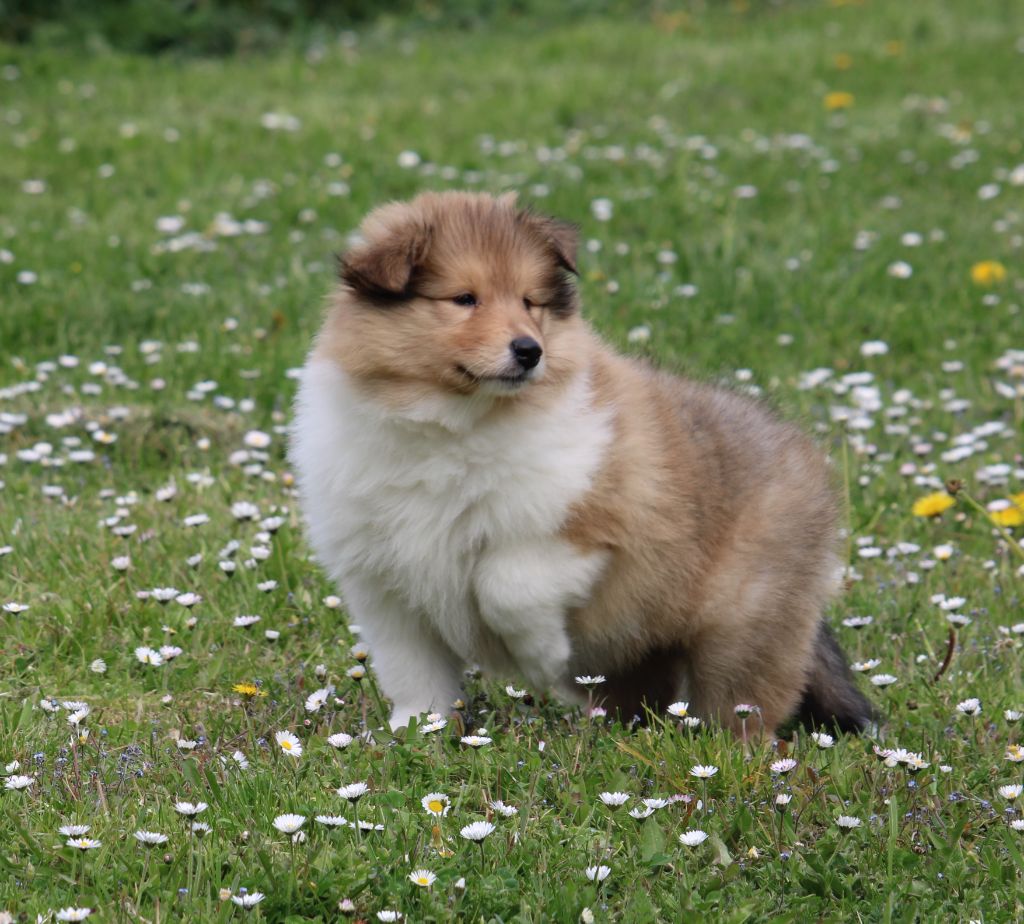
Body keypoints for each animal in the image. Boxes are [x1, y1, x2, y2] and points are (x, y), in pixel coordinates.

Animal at [290, 190, 874, 737]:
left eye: (530, 302)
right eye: (463, 299)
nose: (530, 351)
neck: (452, 424)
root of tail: (802, 450)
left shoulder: (581, 527)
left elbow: (507, 585)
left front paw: (542, 654)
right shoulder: (386, 585)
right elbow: (414, 670)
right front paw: (417, 730)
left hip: (744, 620)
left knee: (746, 703)